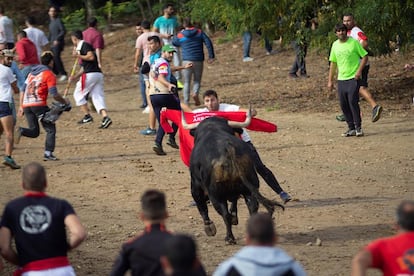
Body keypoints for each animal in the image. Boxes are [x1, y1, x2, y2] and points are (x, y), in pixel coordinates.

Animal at [185, 115, 284, 244]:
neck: (212, 128)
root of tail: (228, 149)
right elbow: (234, 202)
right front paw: (234, 217)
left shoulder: (195, 185)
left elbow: (201, 205)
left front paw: (209, 228)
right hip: (249, 187)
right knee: (252, 208)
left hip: (215, 195)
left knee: (224, 213)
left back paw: (229, 238)